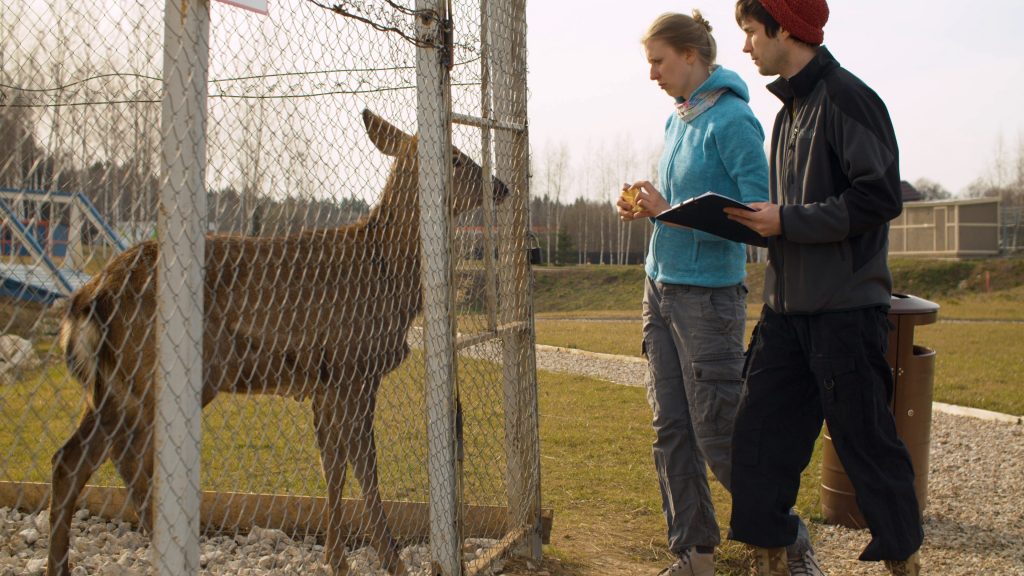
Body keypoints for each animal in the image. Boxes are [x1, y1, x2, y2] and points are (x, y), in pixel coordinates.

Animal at [48, 108, 512, 573]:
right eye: (455, 156)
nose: (501, 186)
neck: (384, 272)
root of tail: (89, 295)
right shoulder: (352, 366)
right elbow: (365, 467)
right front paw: (388, 560)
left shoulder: (327, 383)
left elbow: (333, 465)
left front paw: (337, 559)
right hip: (155, 369)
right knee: (124, 458)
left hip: (113, 383)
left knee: (71, 459)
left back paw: (63, 563)